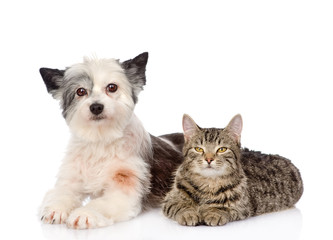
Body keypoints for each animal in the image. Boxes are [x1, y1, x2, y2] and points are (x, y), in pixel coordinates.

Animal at [39, 53, 184, 230]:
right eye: (80, 91)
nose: (96, 107)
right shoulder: (70, 179)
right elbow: (61, 193)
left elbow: (99, 204)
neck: (100, 140)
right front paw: (55, 208)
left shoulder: (124, 189)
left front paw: (84, 214)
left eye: (112, 87)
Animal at [162, 113, 302, 226]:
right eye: (199, 149)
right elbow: (179, 206)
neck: (208, 183)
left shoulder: (243, 207)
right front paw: (188, 214)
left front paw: (215, 213)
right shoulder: (169, 200)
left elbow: (226, 208)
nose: (209, 159)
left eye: (222, 149)